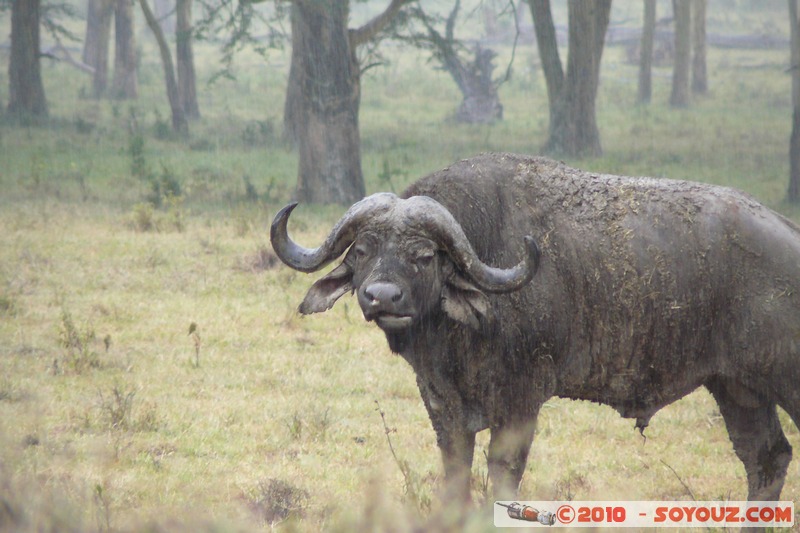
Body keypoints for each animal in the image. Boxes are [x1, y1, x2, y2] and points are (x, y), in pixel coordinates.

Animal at [270, 152, 800, 500]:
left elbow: (503, 476)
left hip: (782, 380)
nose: (382, 297)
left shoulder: (521, 400)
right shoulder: (442, 405)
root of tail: (785, 231)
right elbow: (456, 474)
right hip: (737, 387)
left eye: (423, 256)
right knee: (766, 457)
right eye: (361, 251)